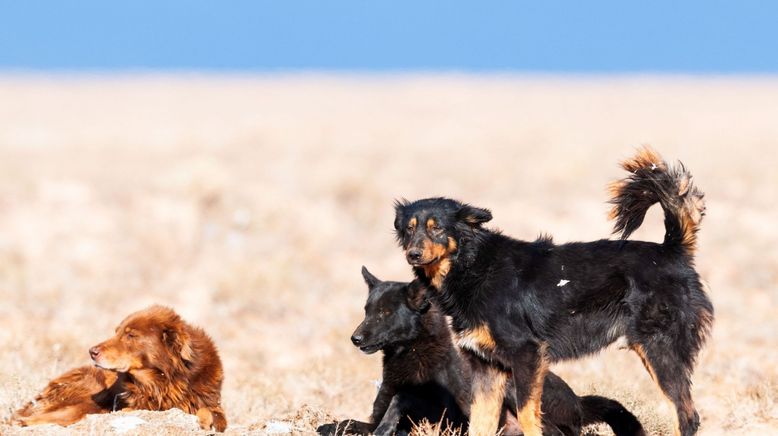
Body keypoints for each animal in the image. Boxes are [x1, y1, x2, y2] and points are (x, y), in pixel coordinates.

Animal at [12, 304, 226, 430]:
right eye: (117, 332)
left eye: (130, 335)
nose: (92, 351)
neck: (163, 380)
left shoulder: (212, 403)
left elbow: (208, 412)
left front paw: (205, 421)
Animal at [316, 268, 644, 434]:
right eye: (367, 310)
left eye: (385, 313)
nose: (355, 338)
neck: (410, 357)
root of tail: (577, 400)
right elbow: (347, 422)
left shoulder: (453, 418)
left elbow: (402, 399)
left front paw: (389, 426)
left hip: (511, 386)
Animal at [394, 147, 708, 436]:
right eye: (409, 230)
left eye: (437, 229)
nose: (413, 254)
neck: (472, 266)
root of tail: (671, 250)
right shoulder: (486, 367)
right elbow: (480, 424)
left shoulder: (527, 354)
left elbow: (527, 415)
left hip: (660, 348)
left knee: (687, 417)